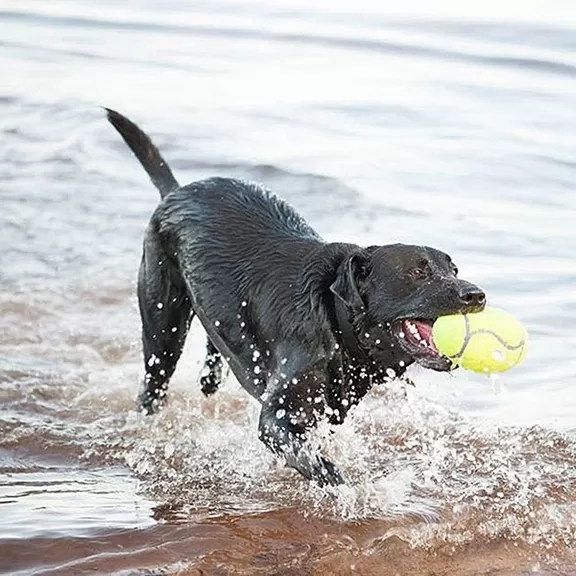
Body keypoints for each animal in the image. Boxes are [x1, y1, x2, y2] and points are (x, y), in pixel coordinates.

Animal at [106, 108, 484, 486]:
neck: (335, 321)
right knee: (153, 384)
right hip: (163, 328)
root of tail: (176, 191)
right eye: (418, 272)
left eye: (452, 269)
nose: (477, 295)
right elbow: (320, 465)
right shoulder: (277, 418)